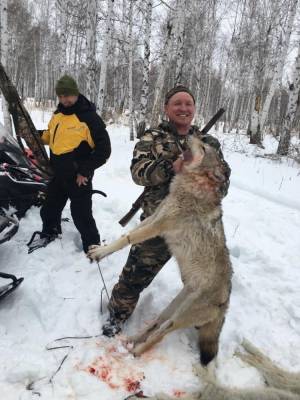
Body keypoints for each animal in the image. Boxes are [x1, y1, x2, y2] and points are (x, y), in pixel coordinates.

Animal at [88, 136, 233, 364]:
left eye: (202, 147)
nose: (189, 136)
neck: (191, 186)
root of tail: (225, 303)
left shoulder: (158, 225)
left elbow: (127, 239)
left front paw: (99, 253)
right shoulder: (155, 216)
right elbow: (125, 236)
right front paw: (100, 249)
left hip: (179, 317)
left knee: (160, 334)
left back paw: (135, 353)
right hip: (172, 308)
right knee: (156, 323)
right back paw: (131, 340)